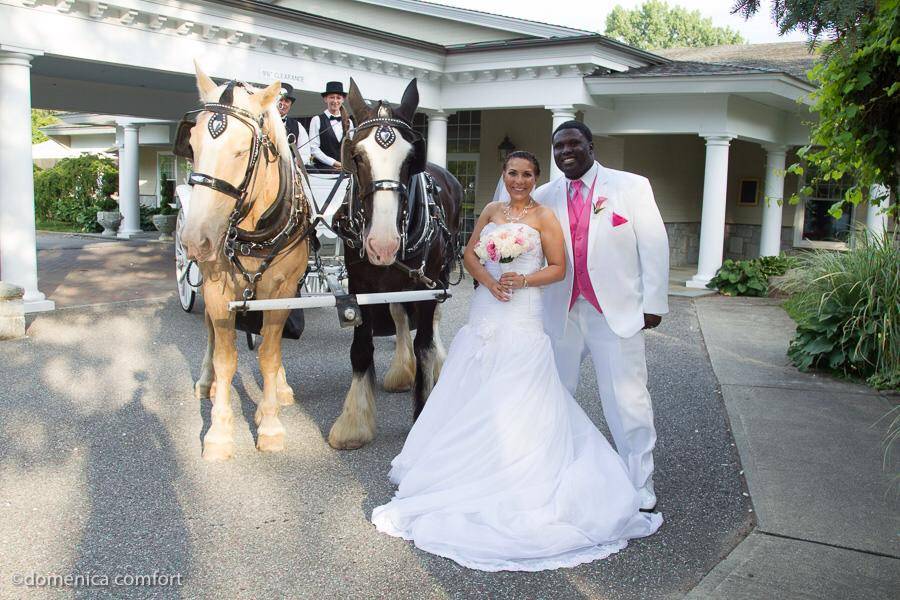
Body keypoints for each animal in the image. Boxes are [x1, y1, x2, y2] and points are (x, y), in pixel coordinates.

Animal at [178, 64, 312, 460]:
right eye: (192, 145)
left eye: (242, 150)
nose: (195, 240)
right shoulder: (217, 291)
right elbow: (226, 358)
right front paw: (220, 432)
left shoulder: (282, 290)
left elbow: (269, 354)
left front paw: (269, 423)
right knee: (210, 333)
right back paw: (206, 382)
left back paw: (279, 390)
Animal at [326, 77, 464, 448]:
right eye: (356, 156)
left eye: (411, 158)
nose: (383, 244)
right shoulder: (360, 287)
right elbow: (361, 348)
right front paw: (354, 423)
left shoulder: (426, 287)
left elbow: (425, 345)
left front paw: (422, 415)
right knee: (400, 317)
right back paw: (402, 370)